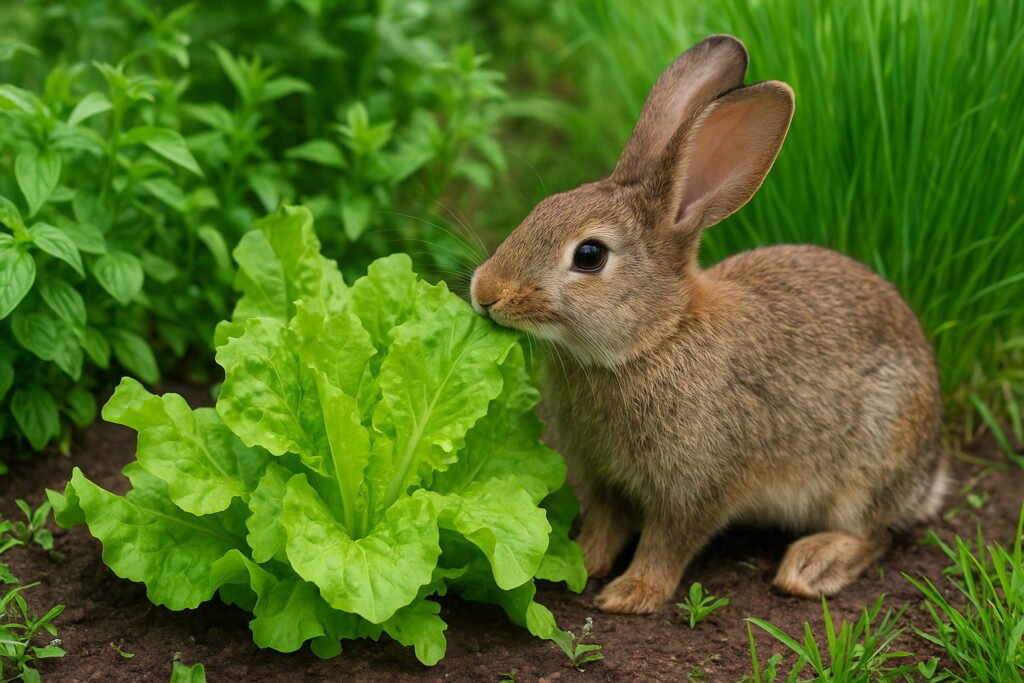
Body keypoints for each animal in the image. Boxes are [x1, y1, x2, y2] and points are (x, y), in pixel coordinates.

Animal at [469, 34, 947, 614]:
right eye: (542, 207)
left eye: (589, 255)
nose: (484, 293)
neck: (655, 337)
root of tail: (929, 469)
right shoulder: (604, 481)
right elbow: (606, 523)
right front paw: (579, 563)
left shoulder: (698, 486)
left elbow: (668, 541)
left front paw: (630, 594)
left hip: (870, 461)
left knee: (875, 533)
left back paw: (810, 566)